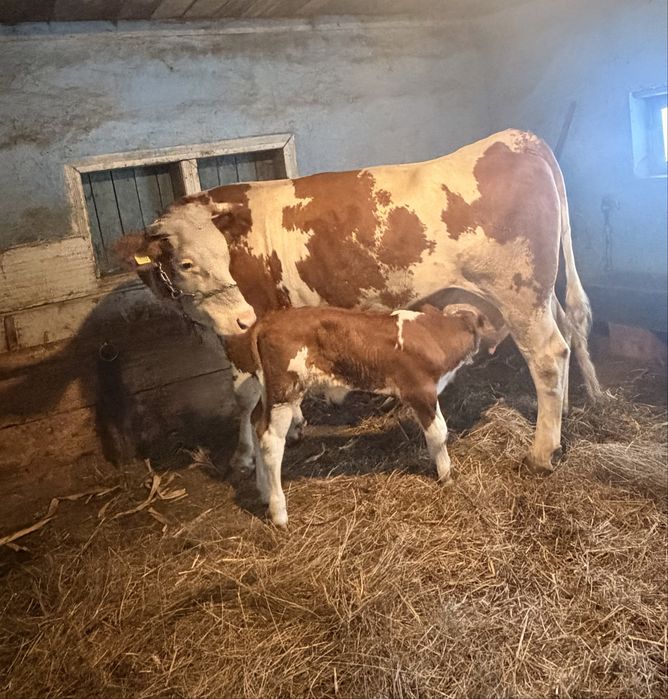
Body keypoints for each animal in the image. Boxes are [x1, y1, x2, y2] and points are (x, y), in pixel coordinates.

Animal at [116, 129, 601, 476]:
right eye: (186, 262)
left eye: (223, 259)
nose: (239, 316)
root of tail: (517, 138)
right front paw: (295, 424)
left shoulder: (244, 333)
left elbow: (243, 394)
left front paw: (244, 456)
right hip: (540, 291)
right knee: (566, 328)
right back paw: (566, 411)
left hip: (518, 293)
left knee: (548, 356)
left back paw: (541, 451)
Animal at [223, 304, 488, 526]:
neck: (435, 334)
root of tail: (266, 322)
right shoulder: (420, 391)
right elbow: (439, 432)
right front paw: (446, 475)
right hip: (284, 391)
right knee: (271, 440)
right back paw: (279, 511)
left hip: (269, 391)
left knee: (257, 423)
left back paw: (263, 490)